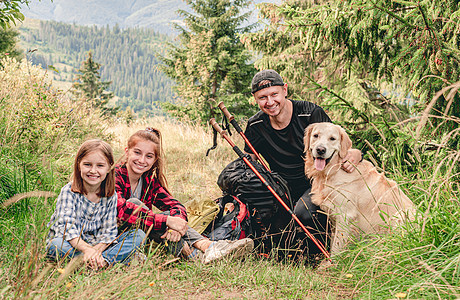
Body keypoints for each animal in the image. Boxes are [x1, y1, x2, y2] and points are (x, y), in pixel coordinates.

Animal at [304, 123, 416, 256]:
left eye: (332, 139)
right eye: (316, 135)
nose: (320, 150)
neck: (334, 170)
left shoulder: (345, 215)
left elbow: (336, 247)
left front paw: (334, 261)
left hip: (400, 217)